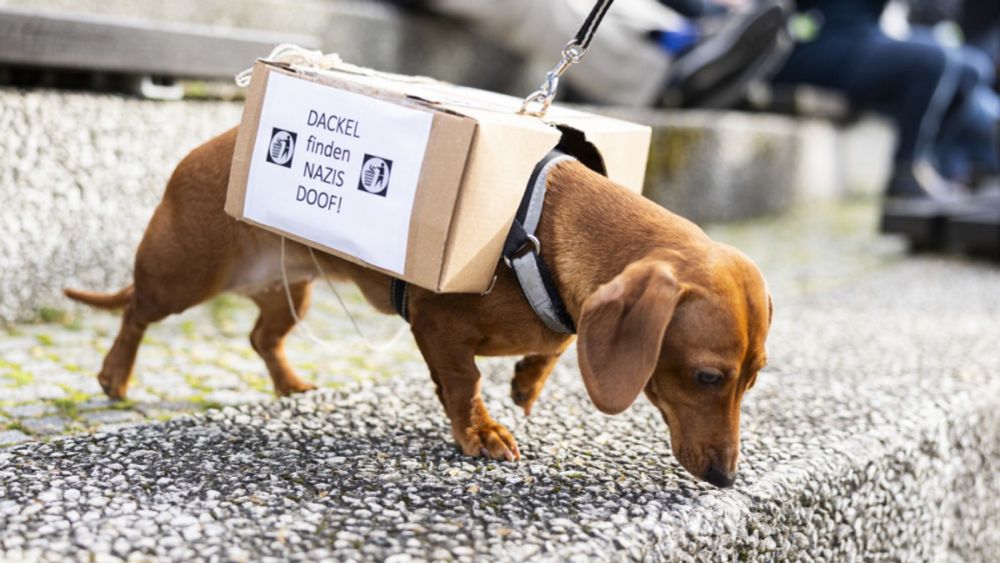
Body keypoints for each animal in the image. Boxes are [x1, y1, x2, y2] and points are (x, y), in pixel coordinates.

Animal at [66, 126, 772, 484]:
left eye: (751, 381)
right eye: (707, 377)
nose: (726, 478)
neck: (537, 236)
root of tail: (214, 146)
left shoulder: (573, 322)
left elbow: (554, 346)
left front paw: (528, 382)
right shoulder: (437, 328)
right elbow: (463, 384)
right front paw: (483, 432)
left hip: (292, 293)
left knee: (263, 339)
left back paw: (292, 384)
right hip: (184, 274)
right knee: (135, 312)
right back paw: (115, 375)